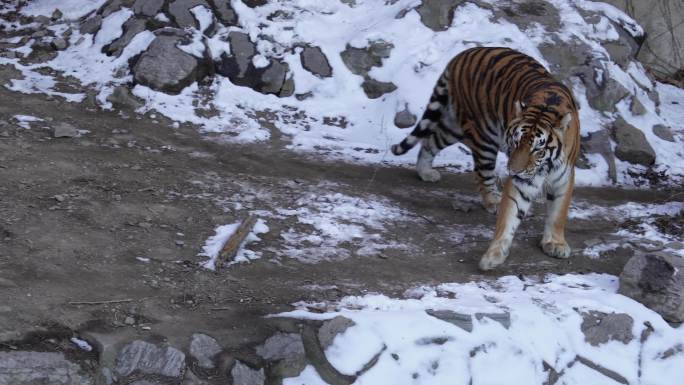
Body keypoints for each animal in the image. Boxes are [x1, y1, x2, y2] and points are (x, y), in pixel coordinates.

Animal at [392, 46, 580, 270]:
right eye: (515, 143)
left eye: (538, 149)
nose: (514, 170)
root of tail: (461, 55)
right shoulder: (522, 181)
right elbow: (509, 214)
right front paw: (494, 254)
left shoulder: (563, 178)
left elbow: (558, 213)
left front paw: (555, 244)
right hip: (483, 136)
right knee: (483, 173)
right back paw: (493, 200)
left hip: (454, 128)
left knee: (431, 140)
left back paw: (425, 172)